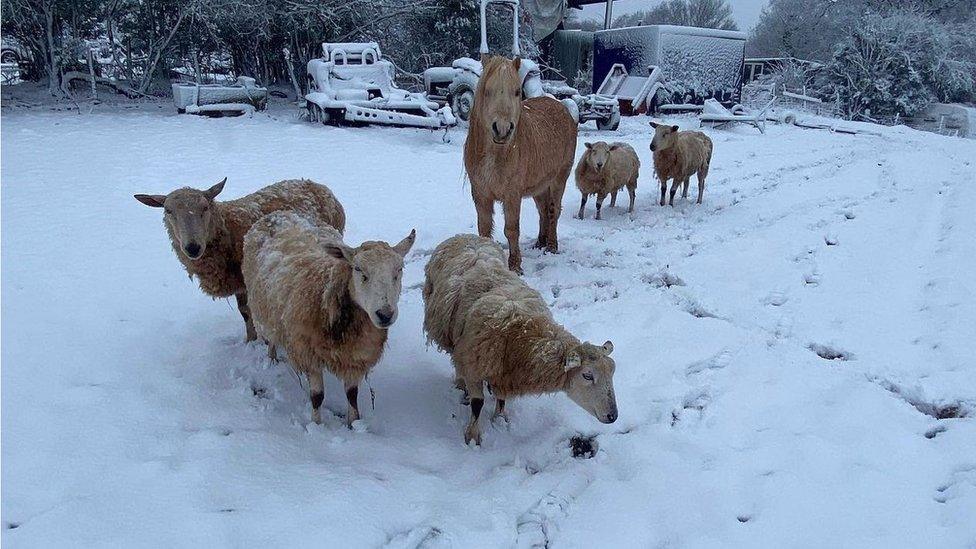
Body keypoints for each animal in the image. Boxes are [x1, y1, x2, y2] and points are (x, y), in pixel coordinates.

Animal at [132, 178, 346, 340]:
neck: (227, 228)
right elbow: (244, 312)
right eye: (168, 210)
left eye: (205, 207)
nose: (192, 247)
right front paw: (250, 340)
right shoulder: (240, 283)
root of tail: (317, 184)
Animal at [244, 210, 416, 424]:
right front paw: (316, 425)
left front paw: (353, 423)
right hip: (264, 314)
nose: (385, 314)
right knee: (272, 338)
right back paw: (272, 359)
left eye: (399, 269)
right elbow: (317, 396)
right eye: (358, 269)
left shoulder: (355, 356)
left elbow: (352, 395)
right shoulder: (308, 354)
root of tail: (280, 213)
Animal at [420, 233, 616, 444]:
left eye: (612, 372)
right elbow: (477, 403)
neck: (519, 331)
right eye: (587, 375)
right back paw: (460, 383)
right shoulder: (473, 364)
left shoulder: (505, 371)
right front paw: (472, 437)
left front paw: (499, 419)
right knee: (455, 360)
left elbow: (502, 398)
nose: (613, 416)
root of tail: (465, 235)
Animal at [466, 55, 580, 274]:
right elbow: (484, 229)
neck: (498, 153)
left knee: (553, 210)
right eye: (487, 91)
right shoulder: (481, 194)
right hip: (540, 186)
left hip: (559, 178)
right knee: (543, 210)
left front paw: (515, 265)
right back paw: (540, 242)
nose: (502, 130)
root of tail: (562, 107)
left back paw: (551, 245)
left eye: (517, 91)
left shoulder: (512, 195)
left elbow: (511, 229)